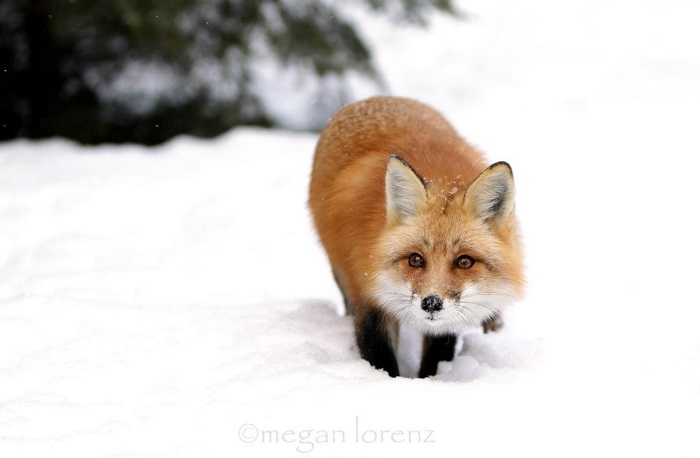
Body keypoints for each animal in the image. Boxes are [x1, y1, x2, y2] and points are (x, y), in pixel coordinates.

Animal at [308, 95, 524, 376]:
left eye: (465, 261)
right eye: (415, 259)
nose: (431, 303)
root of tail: (377, 99)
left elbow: (438, 355)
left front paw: (430, 380)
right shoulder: (366, 294)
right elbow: (379, 357)